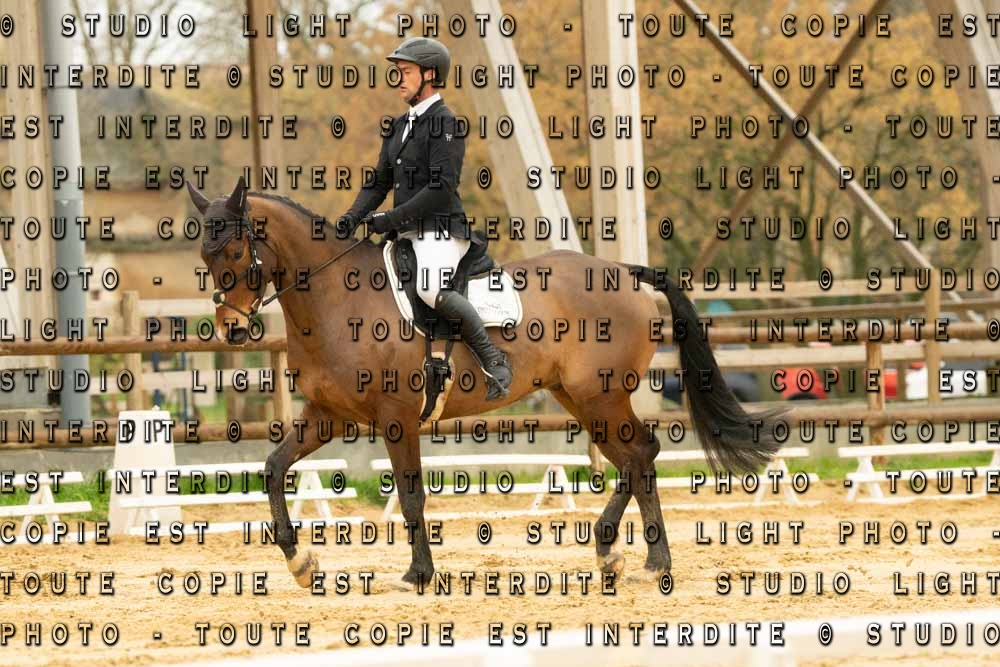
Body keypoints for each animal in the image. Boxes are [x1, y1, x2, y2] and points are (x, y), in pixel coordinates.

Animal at [188, 177, 787, 589]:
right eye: (204, 256)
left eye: (236, 252)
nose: (231, 329)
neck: (336, 297)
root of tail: (622, 271)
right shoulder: (326, 415)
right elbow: (272, 468)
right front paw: (301, 561)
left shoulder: (396, 418)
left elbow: (410, 495)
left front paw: (419, 573)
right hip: (582, 397)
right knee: (636, 457)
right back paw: (619, 554)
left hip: (600, 394)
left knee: (640, 453)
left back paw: (641, 558)